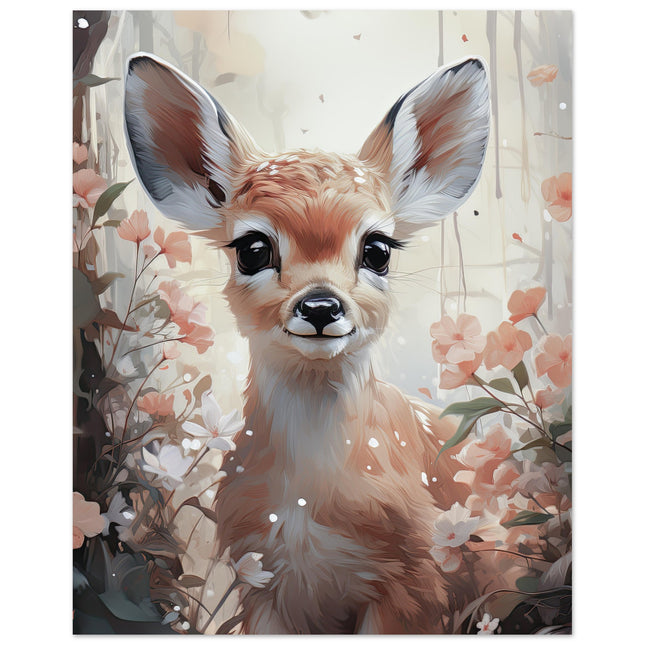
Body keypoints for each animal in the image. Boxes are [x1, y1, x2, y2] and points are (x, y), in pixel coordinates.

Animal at [124, 52, 496, 634]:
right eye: (252, 248)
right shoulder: (257, 575)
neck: (307, 502)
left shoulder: (418, 573)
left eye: (378, 249)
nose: (320, 306)